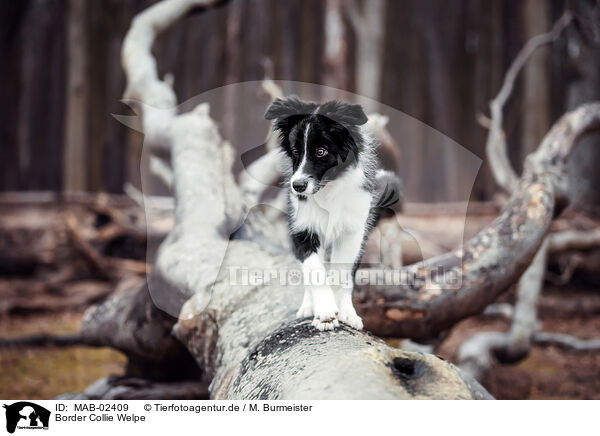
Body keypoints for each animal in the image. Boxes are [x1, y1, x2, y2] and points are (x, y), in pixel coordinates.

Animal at [264, 95, 400, 330]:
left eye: (321, 151)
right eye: (295, 152)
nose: (297, 186)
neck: (328, 189)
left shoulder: (352, 232)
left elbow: (342, 274)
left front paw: (342, 312)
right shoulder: (302, 228)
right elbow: (314, 270)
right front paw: (325, 312)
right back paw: (309, 307)